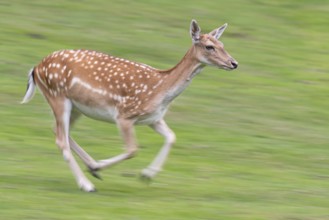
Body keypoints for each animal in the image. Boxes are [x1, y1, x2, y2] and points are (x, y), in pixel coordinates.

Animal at [21, 19, 236, 191]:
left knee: (59, 131)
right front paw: (105, 166)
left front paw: (147, 175)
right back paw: (87, 184)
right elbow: (133, 149)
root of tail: (36, 68)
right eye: (209, 46)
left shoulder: (154, 118)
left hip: (76, 107)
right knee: (61, 140)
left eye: (222, 43)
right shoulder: (124, 114)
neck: (160, 90)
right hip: (57, 96)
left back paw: (92, 167)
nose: (234, 63)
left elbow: (172, 137)